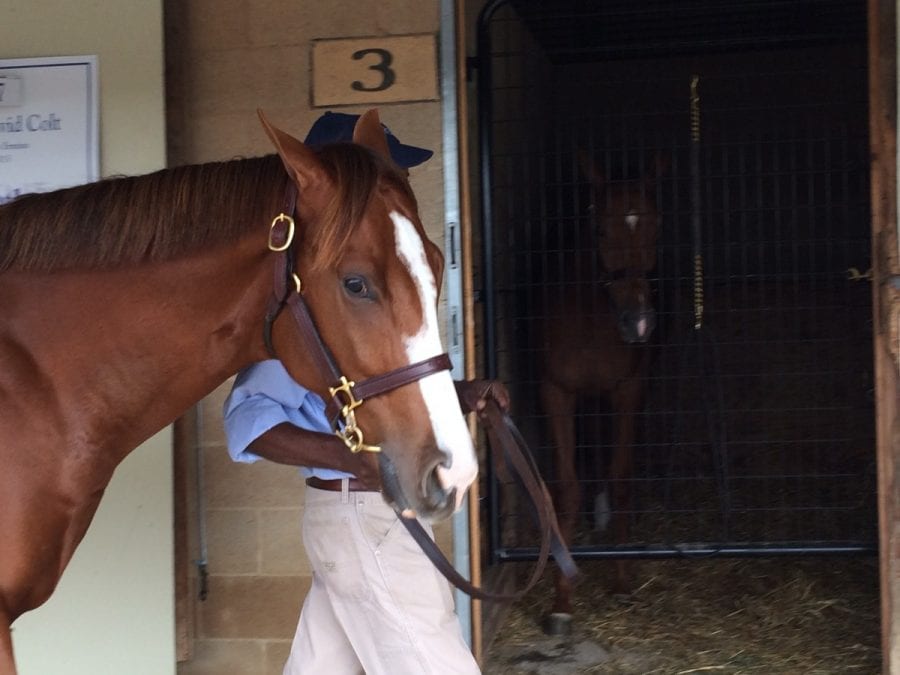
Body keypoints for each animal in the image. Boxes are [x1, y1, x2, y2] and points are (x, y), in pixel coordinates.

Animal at [536, 153, 660, 632]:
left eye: (656, 226)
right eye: (603, 230)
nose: (639, 323)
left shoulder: (628, 391)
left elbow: (622, 478)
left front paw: (623, 581)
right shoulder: (556, 393)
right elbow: (566, 488)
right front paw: (561, 600)